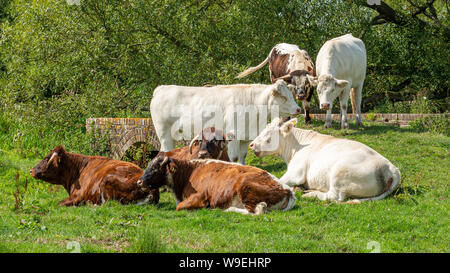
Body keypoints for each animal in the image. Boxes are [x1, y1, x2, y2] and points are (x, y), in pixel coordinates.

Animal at [138, 154, 298, 214]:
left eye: (155, 168)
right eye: (148, 165)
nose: (139, 181)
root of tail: (287, 189)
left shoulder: (200, 196)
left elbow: (179, 206)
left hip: (245, 188)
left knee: (256, 211)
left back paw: (229, 209)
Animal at [149, 78, 300, 164]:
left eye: (291, 95)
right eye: (283, 97)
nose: (298, 109)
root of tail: (161, 88)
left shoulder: (245, 137)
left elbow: (243, 156)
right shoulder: (233, 135)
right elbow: (234, 157)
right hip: (164, 134)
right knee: (164, 151)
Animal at [250, 117, 400, 202]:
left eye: (269, 135)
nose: (251, 144)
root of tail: (390, 167)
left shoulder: (296, 172)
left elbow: (277, 180)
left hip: (340, 173)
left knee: (334, 197)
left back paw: (310, 194)